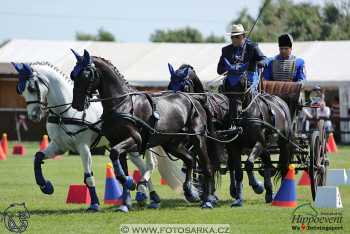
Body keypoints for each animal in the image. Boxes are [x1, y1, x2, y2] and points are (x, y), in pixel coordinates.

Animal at [12, 62, 185, 212]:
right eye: (21, 90)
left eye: (32, 87)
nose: (33, 115)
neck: (66, 112)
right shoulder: (58, 146)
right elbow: (37, 157)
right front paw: (45, 186)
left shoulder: (83, 147)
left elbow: (88, 176)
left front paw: (94, 204)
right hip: (131, 148)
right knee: (142, 168)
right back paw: (149, 197)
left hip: (139, 145)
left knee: (149, 166)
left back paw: (147, 195)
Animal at [69, 49, 219, 210]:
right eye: (73, 74)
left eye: (86, 75)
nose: (76, 104)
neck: (121, 104)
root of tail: (195, 98)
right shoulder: (117, 142)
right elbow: (119, 167)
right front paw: (125, 203)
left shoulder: (135, 139)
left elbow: (115, 154)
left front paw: (130, 182)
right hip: (171, 143)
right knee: (190, 160)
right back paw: (190, 192)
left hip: (197, 138)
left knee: (207, 167)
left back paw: (208, 199)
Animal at [168, 63, 294, 206]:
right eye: (170, 85)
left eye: (184, 86)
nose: (175, 105)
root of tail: (280, 101)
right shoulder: (226, 144)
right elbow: (224, 167)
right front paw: (203, 193)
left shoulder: (251, 142)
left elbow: (241, 165)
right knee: (262, 161)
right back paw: (266, 191)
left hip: (283, 143)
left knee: (282, 166)